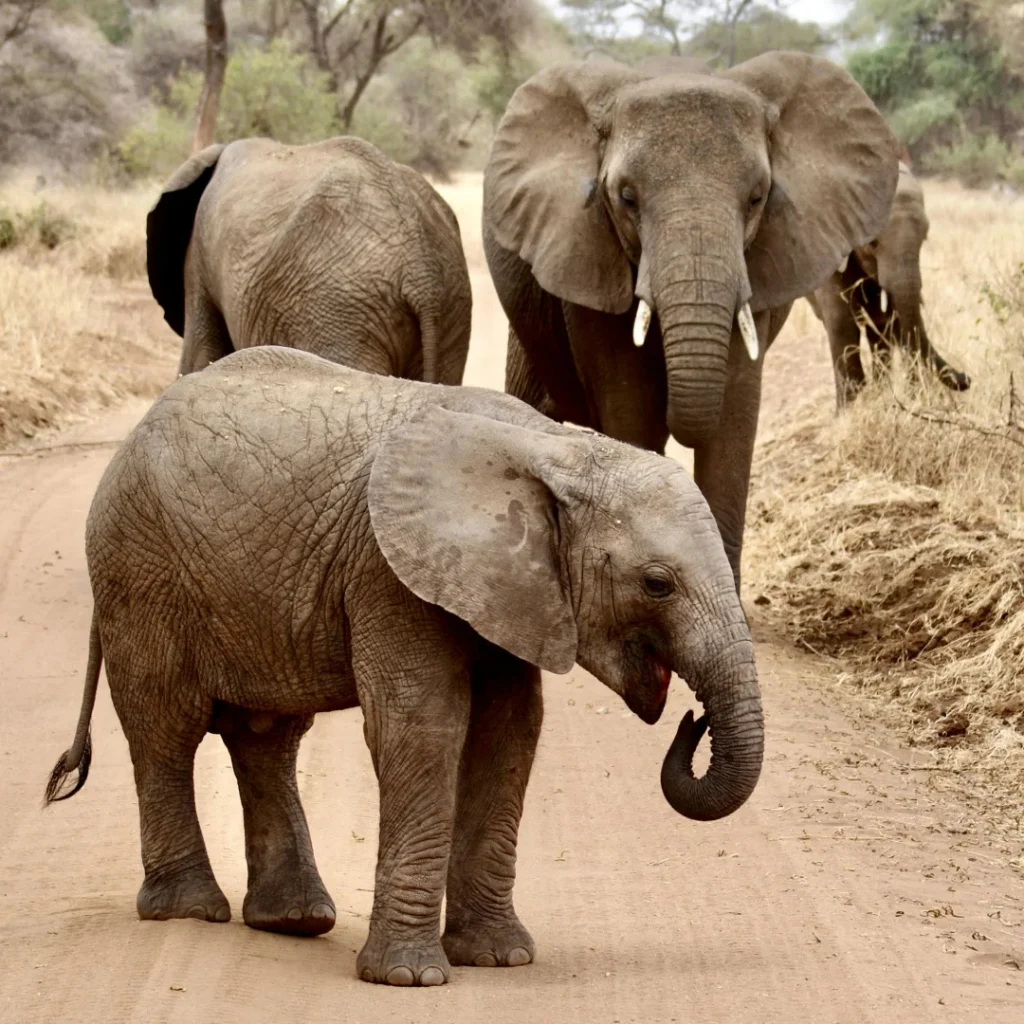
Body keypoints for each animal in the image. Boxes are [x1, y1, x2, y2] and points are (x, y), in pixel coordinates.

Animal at [48, 348, 765, 987]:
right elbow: (424, 727)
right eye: (657, 584)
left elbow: (510, 732)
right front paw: (409, 978)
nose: (693, 720)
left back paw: (296, 920)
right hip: (139, 568)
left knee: (267, 736)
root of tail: (131, 438)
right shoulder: (388, 572)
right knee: (166, 727)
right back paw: (189, 910)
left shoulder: (512, 591)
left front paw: (499, 959)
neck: (553, 449)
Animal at [806, 161, 966, 405]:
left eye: (924, 238)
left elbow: (894, 317)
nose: (967, 379)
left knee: (880, 324)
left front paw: (913, 399)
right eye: (872, 242)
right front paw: (850, 409)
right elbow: (840, 319)